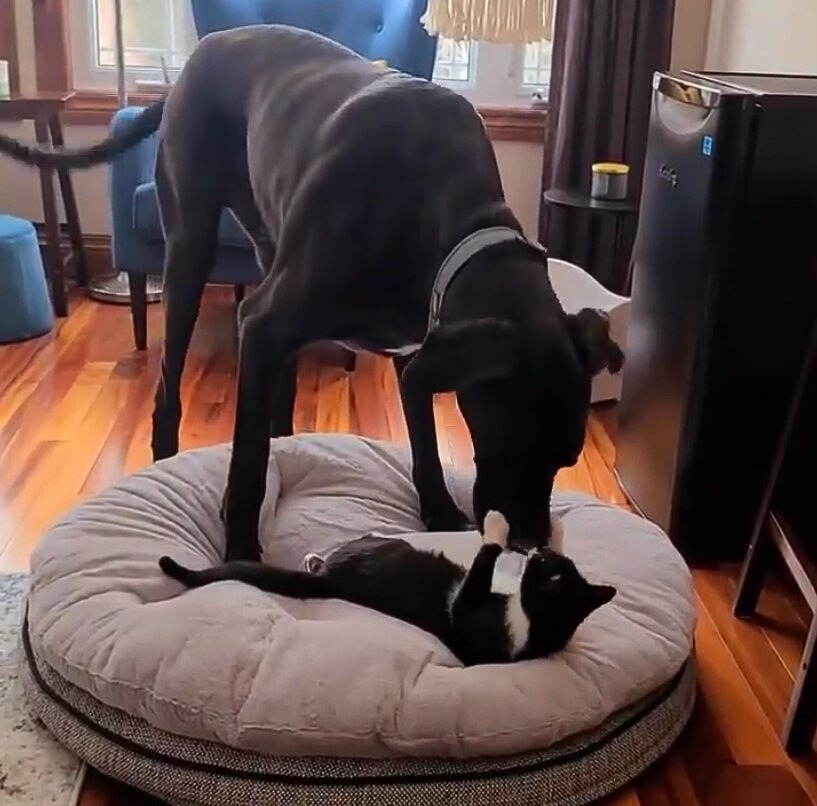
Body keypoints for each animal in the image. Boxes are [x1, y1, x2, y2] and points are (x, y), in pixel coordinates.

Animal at [0, 23, 620, 556]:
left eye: (566, 459)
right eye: (516, 443)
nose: (532, 542)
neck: (449, 216)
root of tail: (197, 56)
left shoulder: (417, 344)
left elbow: (423, 439)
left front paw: (441, 513)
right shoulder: (268, 321)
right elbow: (247, 463)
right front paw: (241, 552)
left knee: (277, 387)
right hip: (190, 249)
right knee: (172, 384)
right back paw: (166, 455)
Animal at [159, 516, 612, 664]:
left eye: (549, 571)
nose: (540, 550)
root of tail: (331, 583)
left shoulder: (467, 611)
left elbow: (487, 554)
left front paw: (497, 523)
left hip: (377, 549)